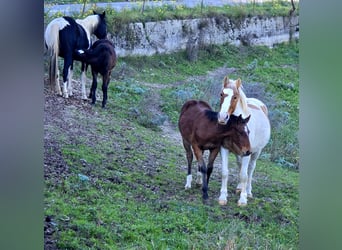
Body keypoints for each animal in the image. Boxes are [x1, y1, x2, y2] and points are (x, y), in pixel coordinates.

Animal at [218, 76, 272, 207]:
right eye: (222, 94)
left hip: (256, 152)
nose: (222, 117)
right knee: (240, 165)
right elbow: (225, 172)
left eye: (235, 97)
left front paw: (242, 200)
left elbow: (244, 175)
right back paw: (239, 188)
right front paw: (223, 197)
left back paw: (248, 191)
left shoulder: (247, 153)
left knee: (250, 169)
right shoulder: (224, 149)